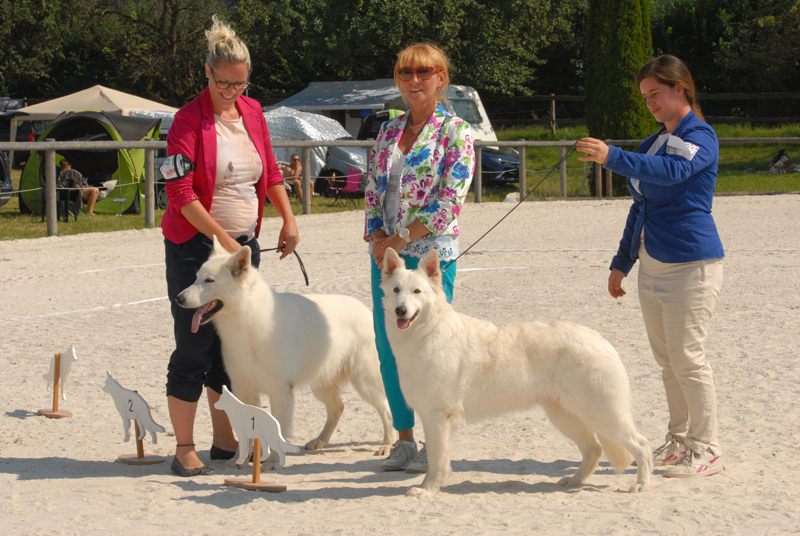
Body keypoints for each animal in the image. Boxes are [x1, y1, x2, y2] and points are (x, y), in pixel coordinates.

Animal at [178, 237, 396, 466]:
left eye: (209, 281)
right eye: (196, 278)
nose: (178, 298)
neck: (248, 317)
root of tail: (365, 310)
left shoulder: (279, 391)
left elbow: (278, 427)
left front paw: (273, 461)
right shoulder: (243, 388)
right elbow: (245, 433)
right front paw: (240, 459)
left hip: (364, 381)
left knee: (386, 409)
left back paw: (387, 444)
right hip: (322, 383)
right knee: (338, 408)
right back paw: (320, 441)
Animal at [380, 248, 648, 498]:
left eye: (417, 292)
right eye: (396, 290)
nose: (400, 311)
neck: (428, 333)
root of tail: (600, 340)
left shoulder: (439, 417)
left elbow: (437, 461)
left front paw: (427, 490)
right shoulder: (430, 416)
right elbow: (437, 457)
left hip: (602, 415)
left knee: (641, 445)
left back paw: (641, 485)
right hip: (566, 417)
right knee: (594, 449)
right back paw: (573, 481)